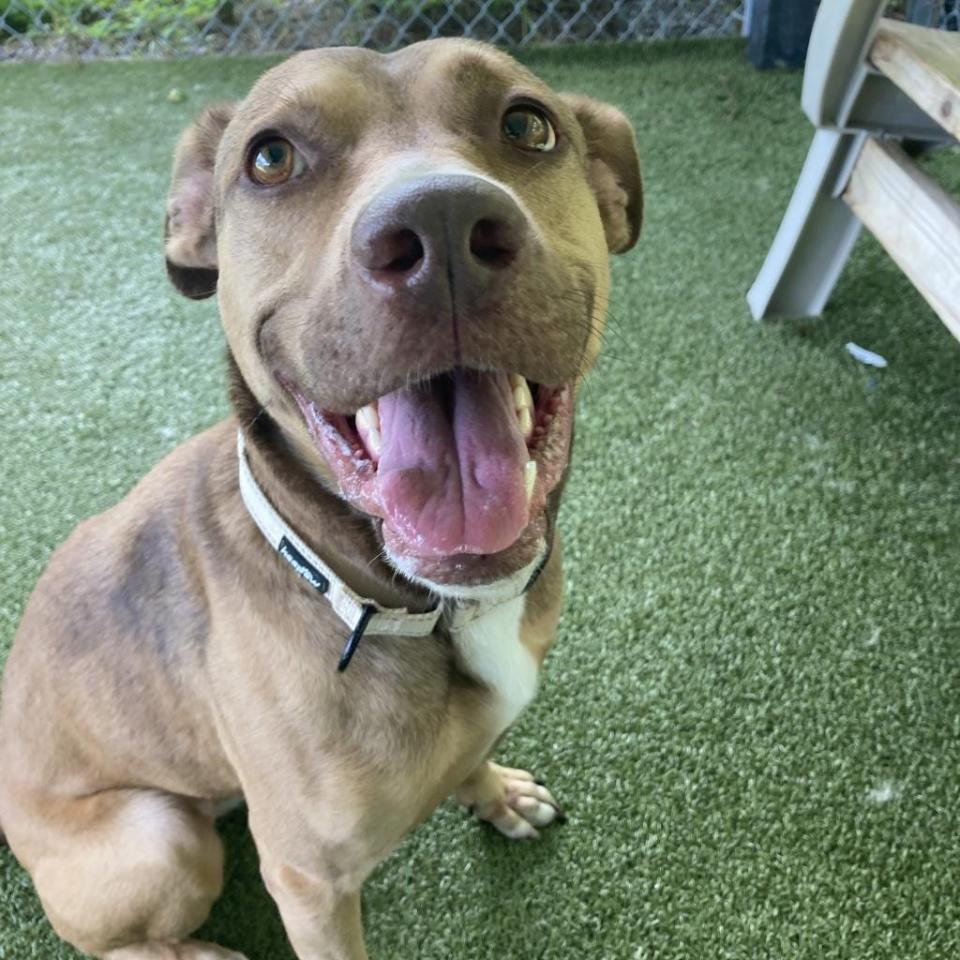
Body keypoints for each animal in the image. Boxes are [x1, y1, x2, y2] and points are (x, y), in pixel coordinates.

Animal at [3, 41, 640, 960]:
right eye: (270, 157)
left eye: (528, 124)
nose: (442, 226)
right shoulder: (311, 885)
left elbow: (475, 756)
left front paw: (494, 794)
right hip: (161, 840)